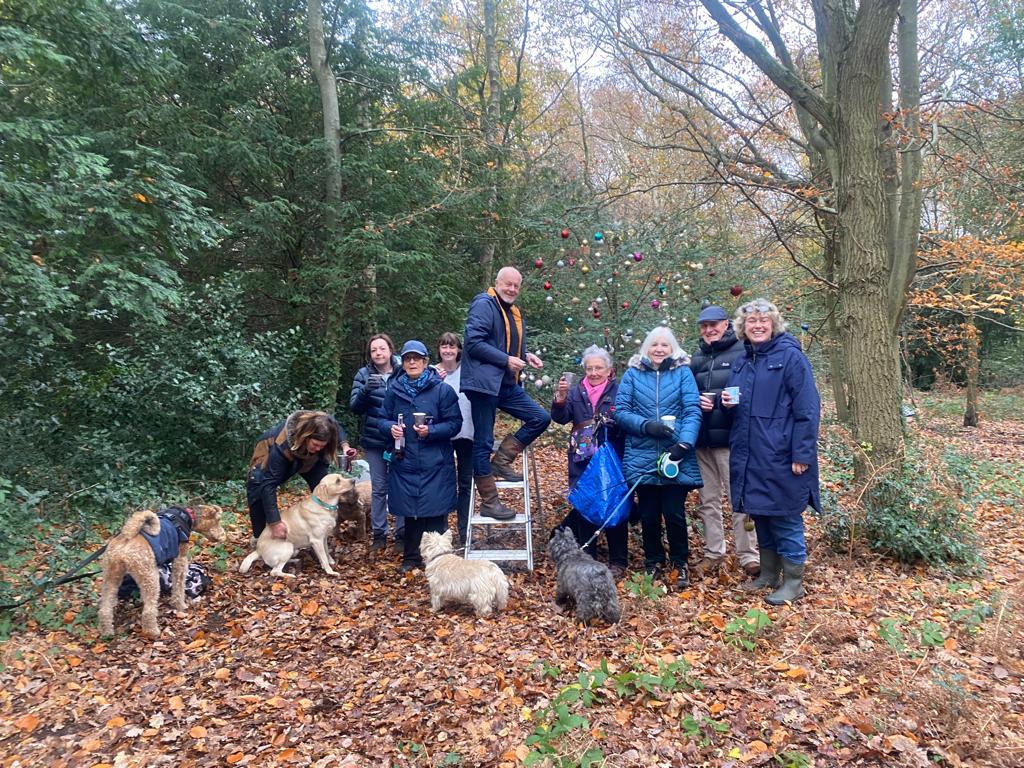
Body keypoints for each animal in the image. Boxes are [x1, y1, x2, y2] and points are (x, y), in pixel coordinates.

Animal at [97, 505, 224, 638]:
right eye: (218, 520)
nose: (223, 536)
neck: (188, 516)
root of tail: (124, 543)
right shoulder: (180, 560)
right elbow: (178, 586)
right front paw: (180, 605)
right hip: (149, 578)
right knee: (148, 611)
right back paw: (153, 631)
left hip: (112, 577)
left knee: (104, 608)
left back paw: (107, 632)